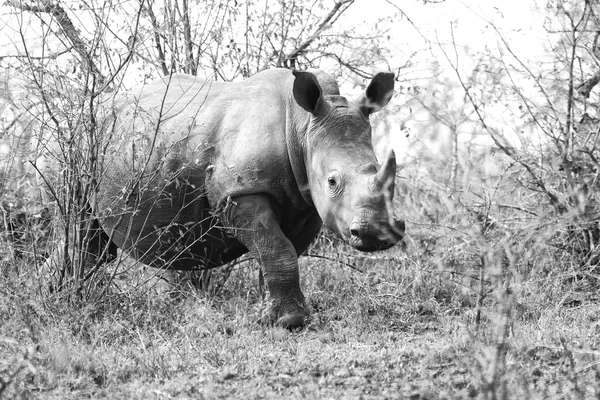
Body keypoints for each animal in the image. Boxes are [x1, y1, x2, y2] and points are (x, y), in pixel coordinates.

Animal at [91, 69, 406, 328]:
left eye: (378, 168)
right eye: (332, 182)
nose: (378, 234)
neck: (302, 127)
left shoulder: (305, 202)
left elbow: (280, 252)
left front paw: (271, 315)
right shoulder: (238, 192)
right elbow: (278, 249)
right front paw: (291, 321)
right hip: (93, 143)